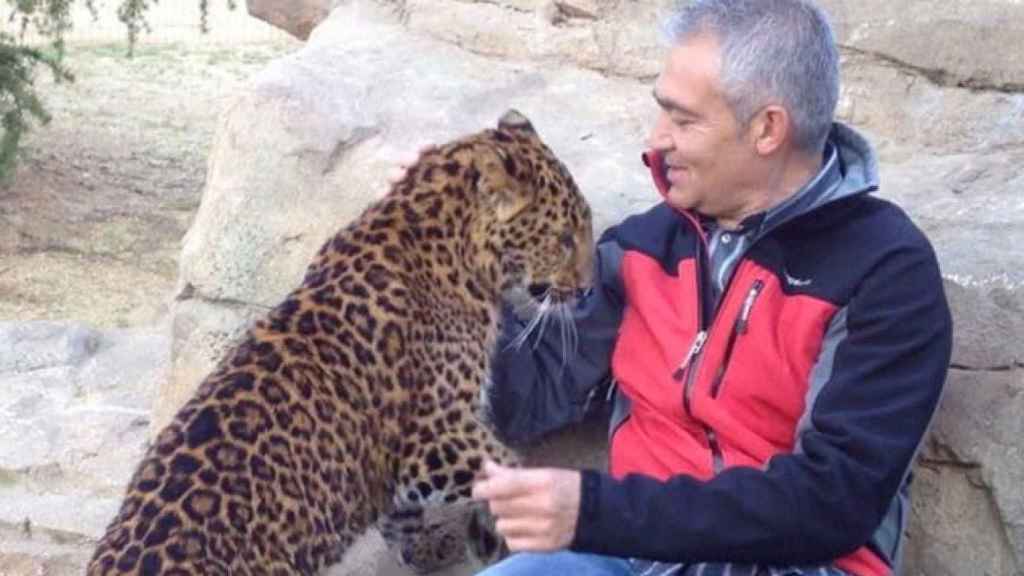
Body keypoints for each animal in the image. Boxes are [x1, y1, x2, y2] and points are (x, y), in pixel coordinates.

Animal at [86, 108, 598, 573]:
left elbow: (404, 511)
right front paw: (501, 525)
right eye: (565, 237)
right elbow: (510, 465)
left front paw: (429, 549)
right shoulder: (435, 431)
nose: (588, 288)